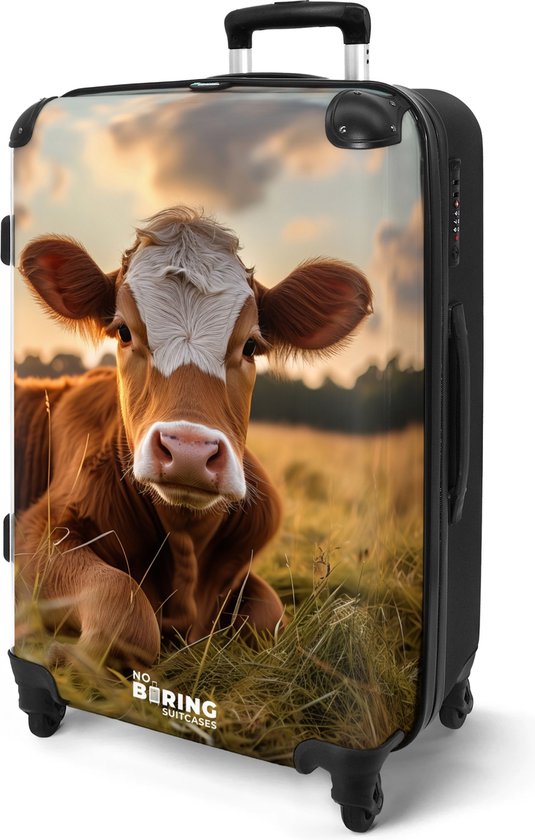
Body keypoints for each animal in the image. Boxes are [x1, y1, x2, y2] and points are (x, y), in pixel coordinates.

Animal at [15, 206, 372, 669]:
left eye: (251, 345)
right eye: (124, 332)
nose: (188, 452)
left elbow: (271, 618)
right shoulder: (36, 532)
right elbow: (124, 604)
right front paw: (62, 654)